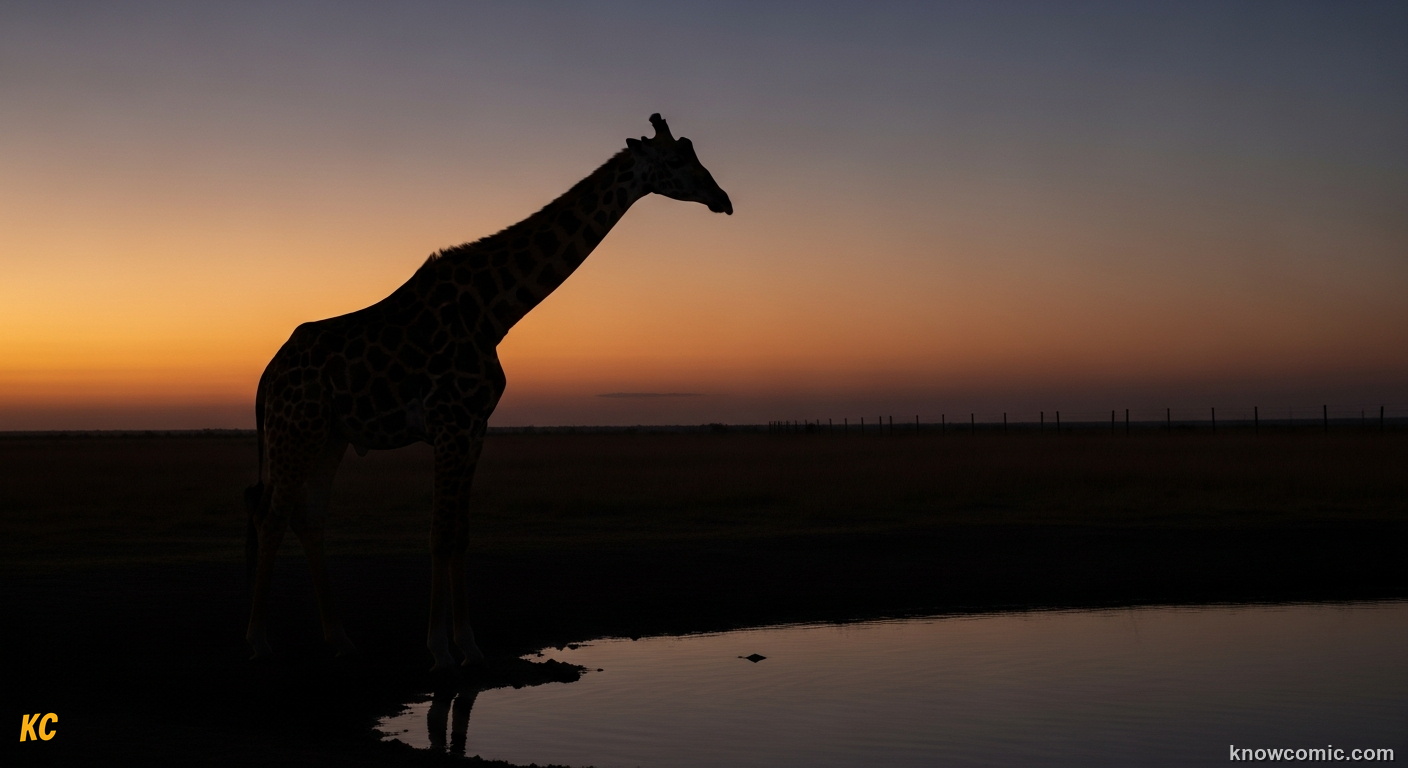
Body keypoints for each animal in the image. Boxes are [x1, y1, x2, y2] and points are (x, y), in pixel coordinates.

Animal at [244, 114, 732, 670]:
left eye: (696, 153)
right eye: (674, 160)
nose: (722, 198)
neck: (493, 310)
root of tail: (268, 375)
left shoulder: (475, 428)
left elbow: (460, 535)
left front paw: (470, 647)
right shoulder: (449, 423)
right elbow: (438, 533)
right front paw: (438, 648)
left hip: (330, 437)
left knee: (309, 519)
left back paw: (340, 640)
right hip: (295, 432)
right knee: (270, 517)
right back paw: (258, 643)